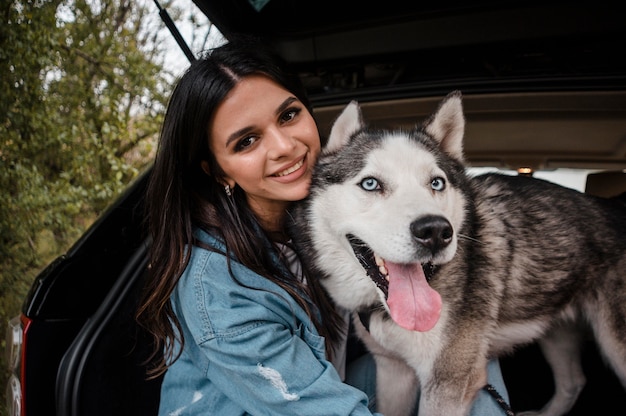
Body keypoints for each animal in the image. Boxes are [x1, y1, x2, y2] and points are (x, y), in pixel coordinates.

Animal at [290, 92, 624, 416]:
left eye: (437, 183)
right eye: (370, 183)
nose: (436, 231)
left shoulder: (448, 382)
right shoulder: (393, 369)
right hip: (557, 330)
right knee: (573, 382)